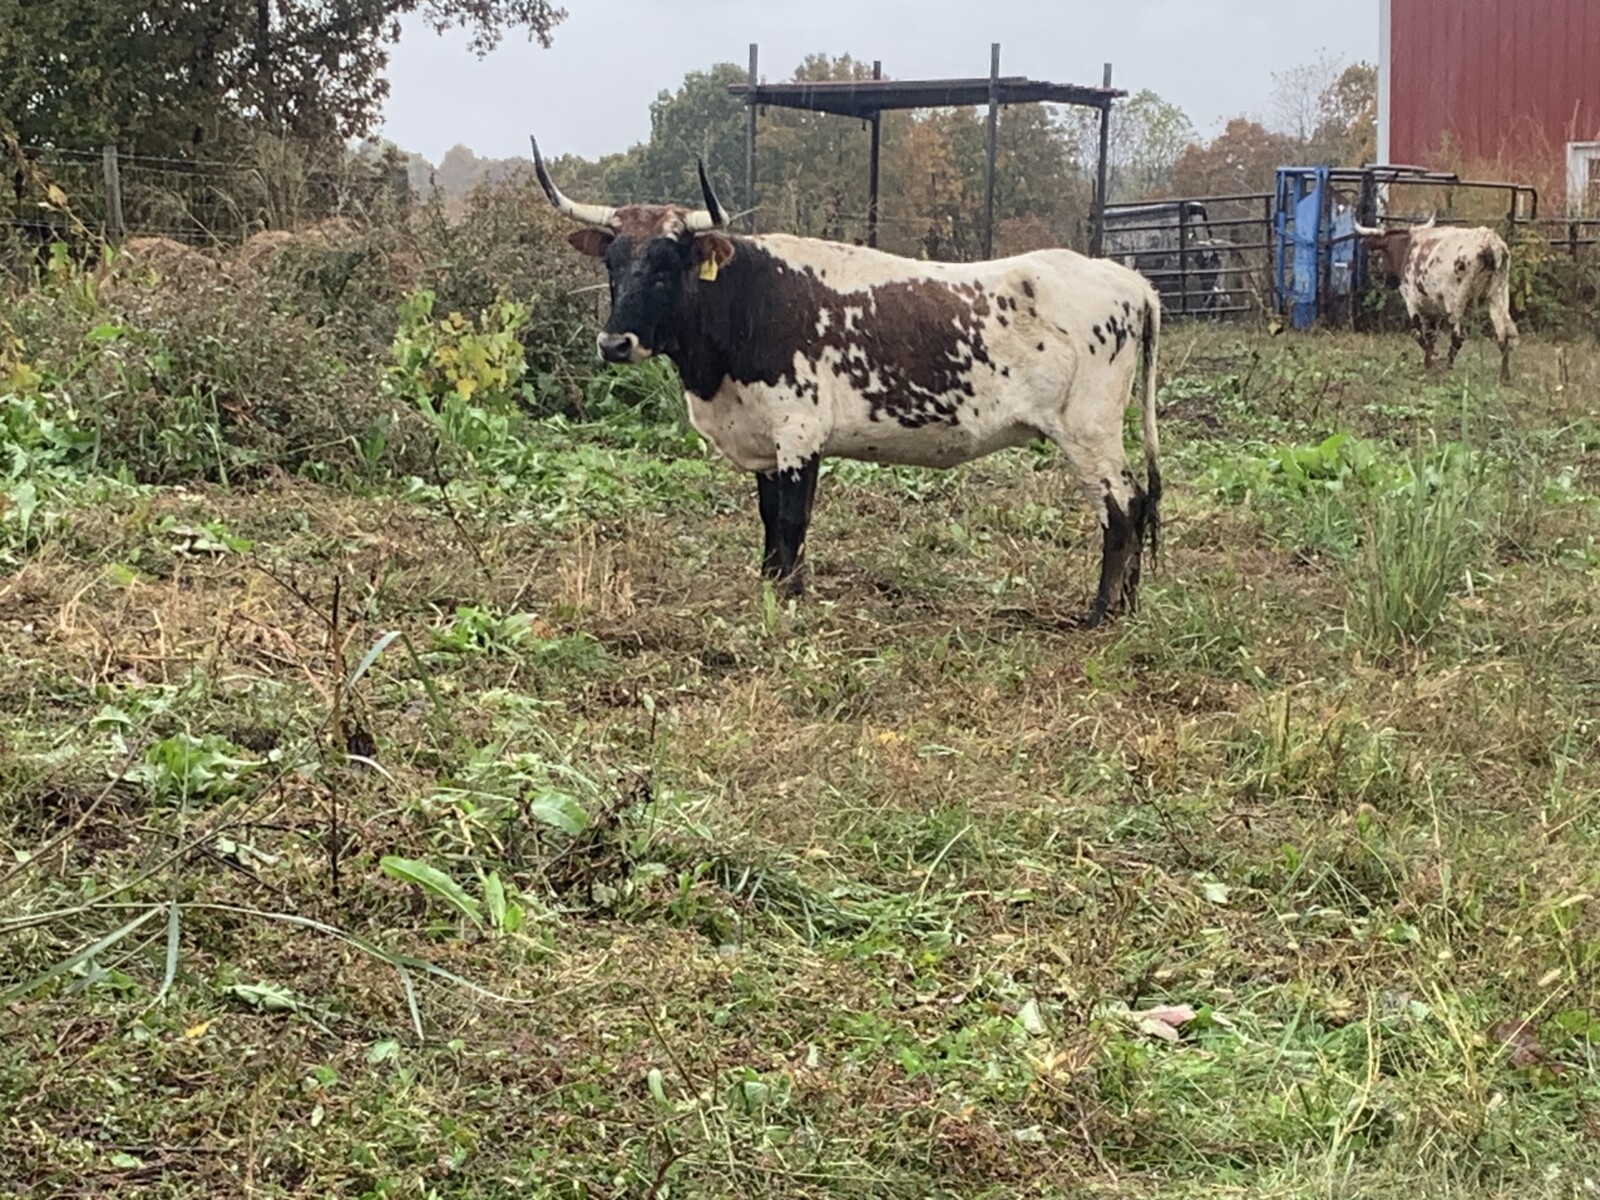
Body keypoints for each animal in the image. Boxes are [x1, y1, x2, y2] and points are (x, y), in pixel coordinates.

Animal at [530, 137, 1162, 627]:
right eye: (612, 264)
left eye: (666, 265)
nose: (615, 343)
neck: (745, 303)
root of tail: (1129, 281)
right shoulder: (766, 441)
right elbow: (769, 519)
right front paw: (770, 586)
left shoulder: (799, 431)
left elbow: (791, 519)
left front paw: (789, 596)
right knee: (1135, 505)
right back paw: (1127, 607)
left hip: (1088, 431)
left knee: (1121, 507)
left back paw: (1100, 613)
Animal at [1355, 216, 1518, 384]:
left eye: (1383, 253)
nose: (1387, 280)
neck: (1408, 248)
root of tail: (1488, 240)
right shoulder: (1433, 309)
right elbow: (1431, 336)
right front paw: (1429, 363)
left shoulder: (1412, 301)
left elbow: (1419, 334)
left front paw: (1432, 361)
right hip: (1498, 298)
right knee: (1503, 337)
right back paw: (1504, 377)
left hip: (1456, 301)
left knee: (1457, 336)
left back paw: (1448, 368)